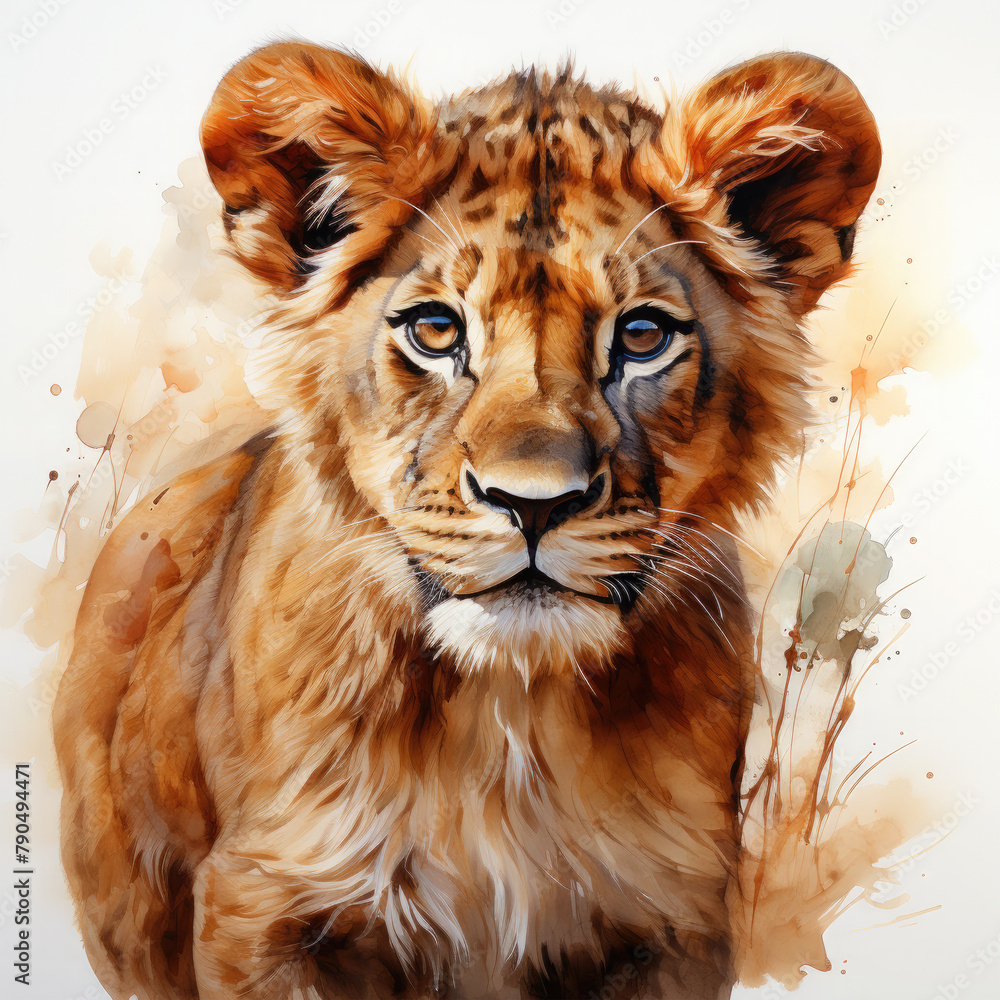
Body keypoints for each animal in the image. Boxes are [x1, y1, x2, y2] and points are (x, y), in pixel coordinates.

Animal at [53, 43, 880, 1000]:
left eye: (641, 337)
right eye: (436, 331)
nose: (535, 503)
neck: (506, 719)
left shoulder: (673, 918)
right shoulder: (258, 905)